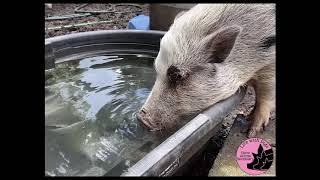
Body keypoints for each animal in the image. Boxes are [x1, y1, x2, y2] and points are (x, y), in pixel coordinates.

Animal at [136, 3, 276, 137]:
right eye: (157, 69)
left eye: (177, 75)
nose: (140, 119)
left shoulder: (270, 65)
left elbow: (265, 97)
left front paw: (251, 132)